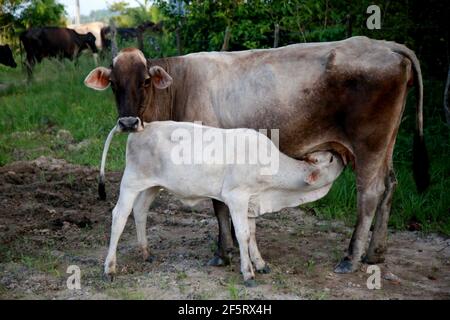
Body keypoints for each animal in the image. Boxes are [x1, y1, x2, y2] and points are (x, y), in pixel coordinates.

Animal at [103, 120, 344, 284]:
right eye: (332, 159)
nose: (343, 156)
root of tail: (144, 126)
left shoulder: (251, 201)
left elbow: (252, 234)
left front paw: (261, 264)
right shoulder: (236, 197)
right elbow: (242, 235)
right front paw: (248, 273)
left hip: (151, 186)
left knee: (140, 211)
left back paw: (146, 253)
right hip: (131, 182)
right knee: (119, 216)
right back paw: (109, 268)